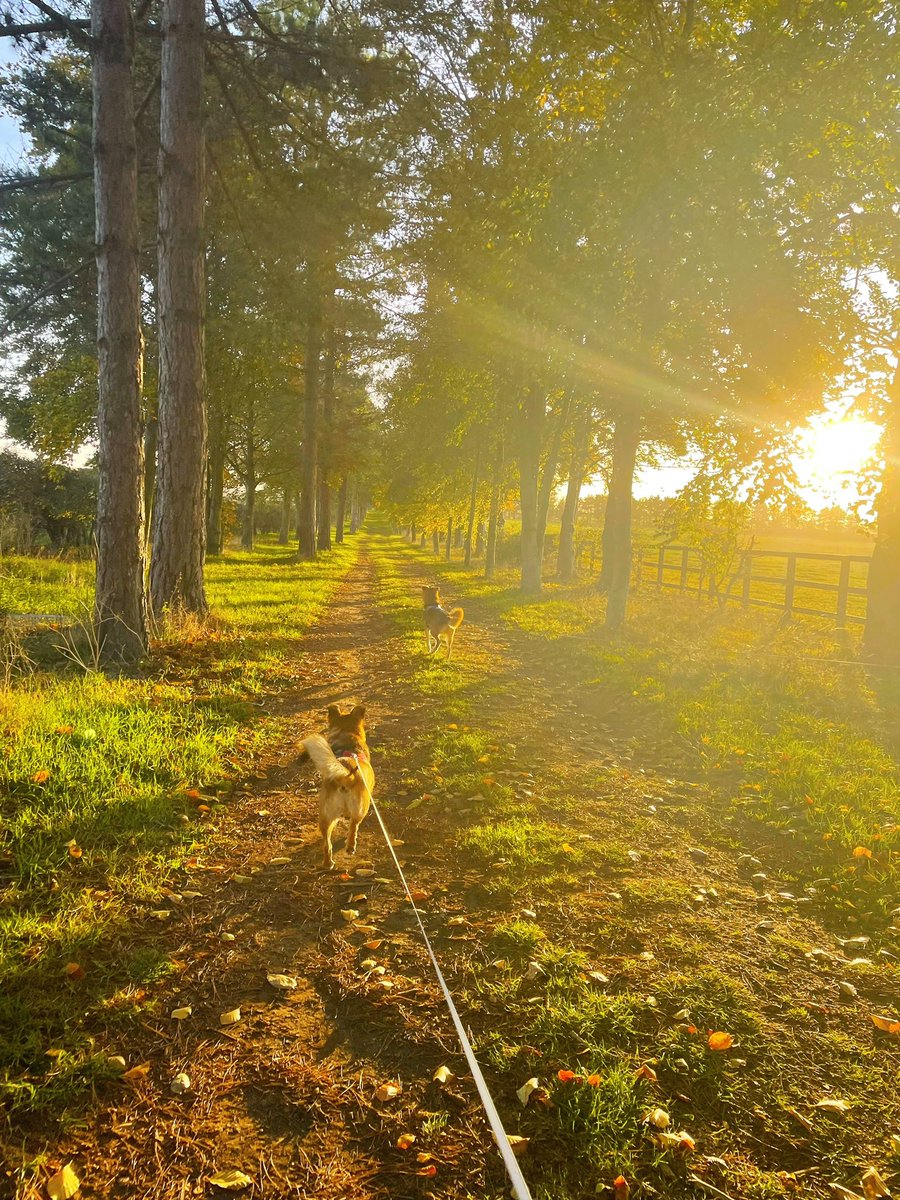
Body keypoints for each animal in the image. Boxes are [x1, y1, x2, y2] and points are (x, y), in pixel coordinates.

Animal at [301, 700, 374, 873]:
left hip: (326, 816)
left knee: (326, 844)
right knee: (353, 826)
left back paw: (328, 863)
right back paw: (350, 847)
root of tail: (346, 775)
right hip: (360, 809)